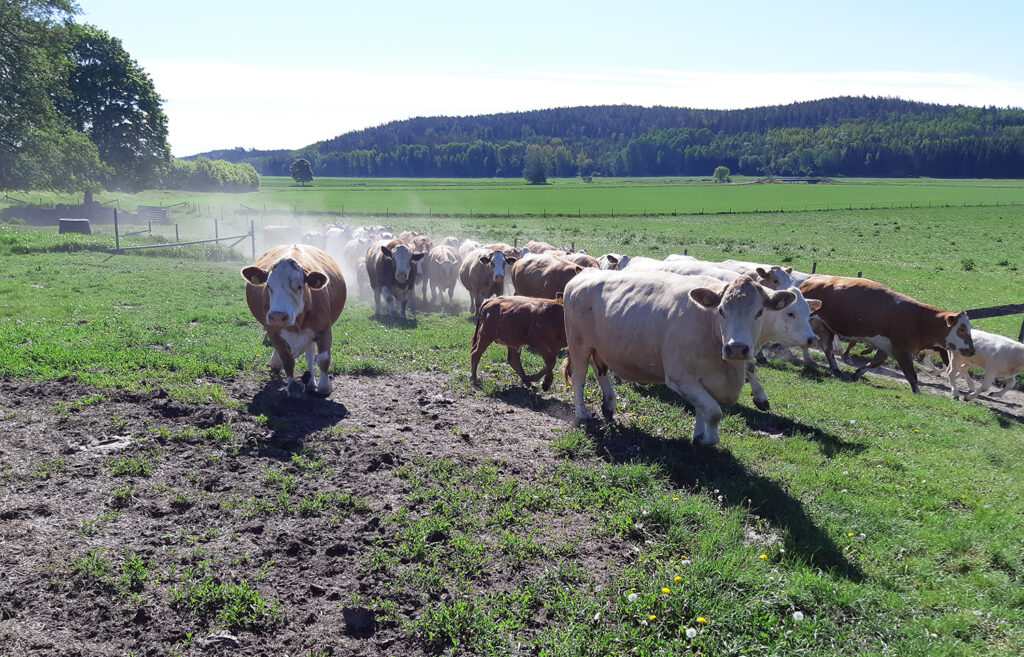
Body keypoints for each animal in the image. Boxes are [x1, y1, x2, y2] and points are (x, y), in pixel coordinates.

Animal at [240, 243, 348, 397]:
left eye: (299, 286)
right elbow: (287, 359)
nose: (278, 315)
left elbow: (323, 358)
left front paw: (324, 387)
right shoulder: (273, 331)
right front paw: (292, 389)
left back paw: (311, 383)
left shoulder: (323, 328)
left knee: (310, 354)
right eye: (268, 285)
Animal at [565, 268, 794, 446]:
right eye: (721, 310)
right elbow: (714, 411)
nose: (736, 348)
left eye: (760, 312)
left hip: (598, 347)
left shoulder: (703, 380)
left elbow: (703, 409)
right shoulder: (680, 377)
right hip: (578, 344)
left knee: (600, 371)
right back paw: (582, 414)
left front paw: (699, 434)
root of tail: (585, 273)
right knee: (578, 378)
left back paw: (609, 405)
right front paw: (706, 438)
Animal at [794, 274, 970, 390]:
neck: (918, 319)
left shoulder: (887, 347)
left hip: (825, 328)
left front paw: (856, 373)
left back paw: (835, 369)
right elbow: (911, 375)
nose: (971, 349)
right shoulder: (902, 350)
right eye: (961, 329)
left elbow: (874, 363)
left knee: (827, 349)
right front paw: (918, 393)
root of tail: (812, 278)